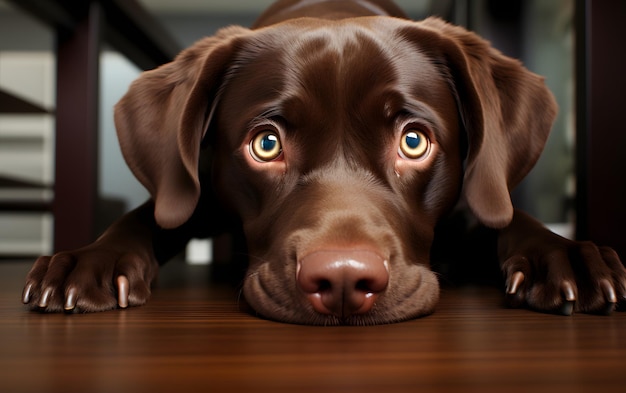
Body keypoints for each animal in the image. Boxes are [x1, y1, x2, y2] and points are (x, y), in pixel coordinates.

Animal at [20, 0, 624, 324]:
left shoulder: (471, 202)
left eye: (414, 141)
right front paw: (89, 261)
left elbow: (508, 218)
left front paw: (564, 255)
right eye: (265, 144)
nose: (342, 279)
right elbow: (151, 214)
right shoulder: (196, 192)